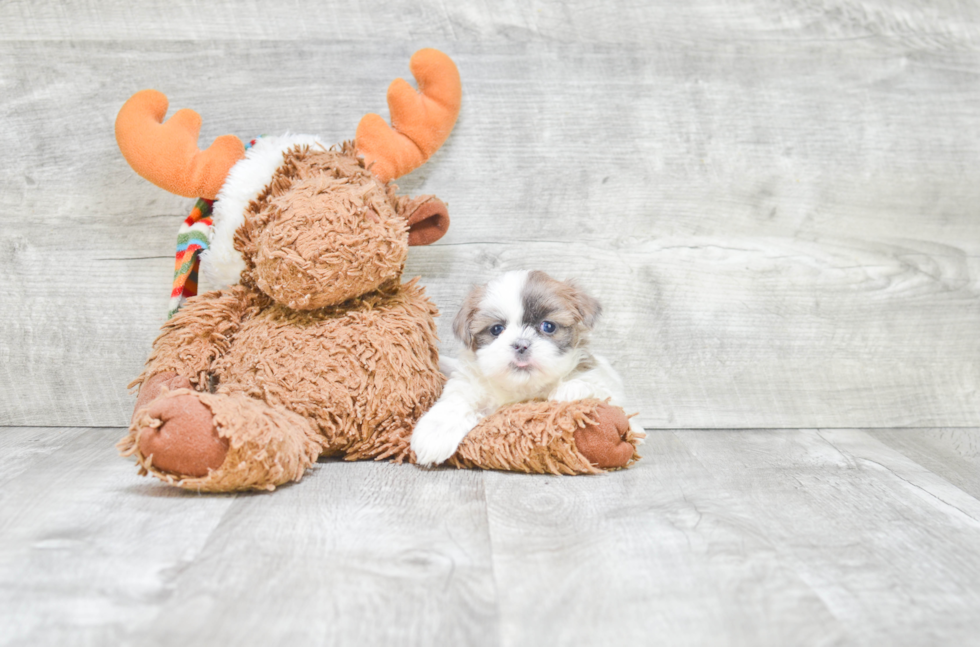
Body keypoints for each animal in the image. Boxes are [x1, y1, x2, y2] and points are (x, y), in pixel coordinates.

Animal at [410, 270, 640, 468]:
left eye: (548, 326)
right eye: (497, 329)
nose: (521, 344)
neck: (522, 388)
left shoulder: (606, 383)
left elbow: (597, 387)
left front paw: (571, 389)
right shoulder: (469, 384)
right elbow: (455, 404)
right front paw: (434, 435)